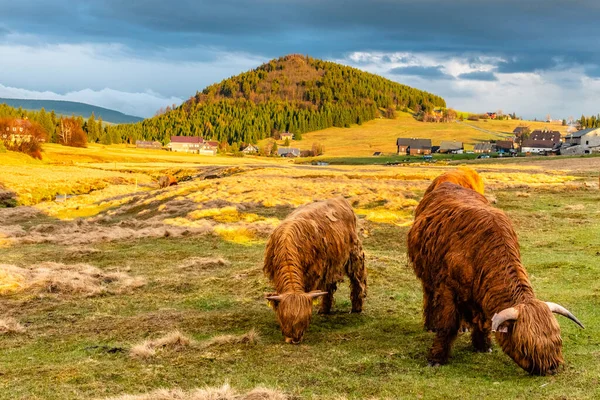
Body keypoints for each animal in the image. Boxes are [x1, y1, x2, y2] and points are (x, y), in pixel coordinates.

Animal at [264, 197, 368, 344]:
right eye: (284, 319)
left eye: (304, 320)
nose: (295, 339)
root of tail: (341, 199)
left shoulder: (312, 273)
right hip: (330, 263)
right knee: (329, 286)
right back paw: (324, 310)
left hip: (354, 255)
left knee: (358, 279)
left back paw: (356, 308)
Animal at [408, 183, 580, 376]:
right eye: (525, 347)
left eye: (557, 342)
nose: (551, 368)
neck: (481, 252)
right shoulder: (447, 288)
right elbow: (448, 324)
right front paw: (436, 358)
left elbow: (483, 322)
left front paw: (483, 345)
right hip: (427, 276)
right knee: (429, 296)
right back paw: (431, 325)